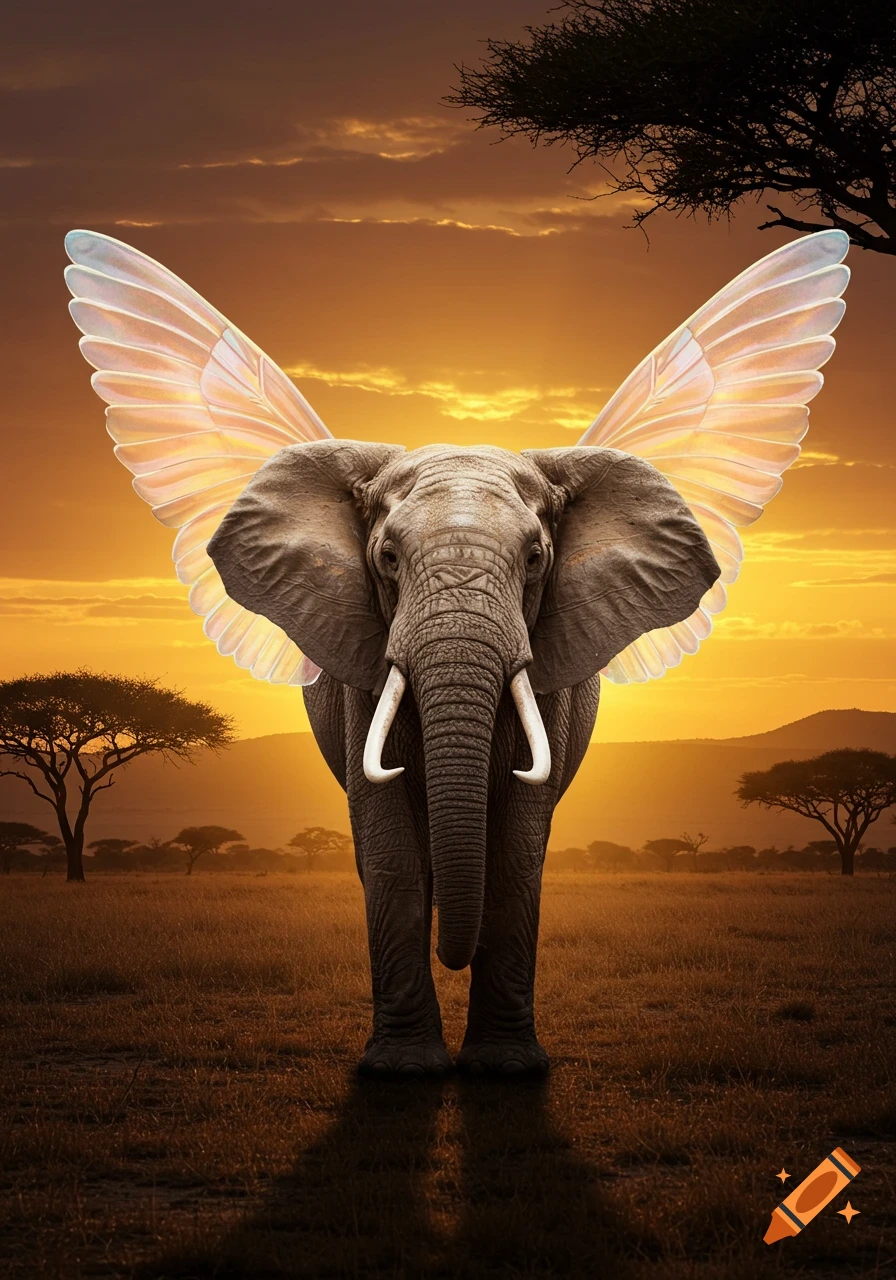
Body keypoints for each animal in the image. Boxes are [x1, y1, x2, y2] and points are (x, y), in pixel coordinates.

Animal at [208, 438, 720, 1077]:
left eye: (534, 558)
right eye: (389, 558)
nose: (453, 954)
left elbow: (517, 850)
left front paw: (507, 1067)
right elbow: (390, 852)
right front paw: (402, 1070)